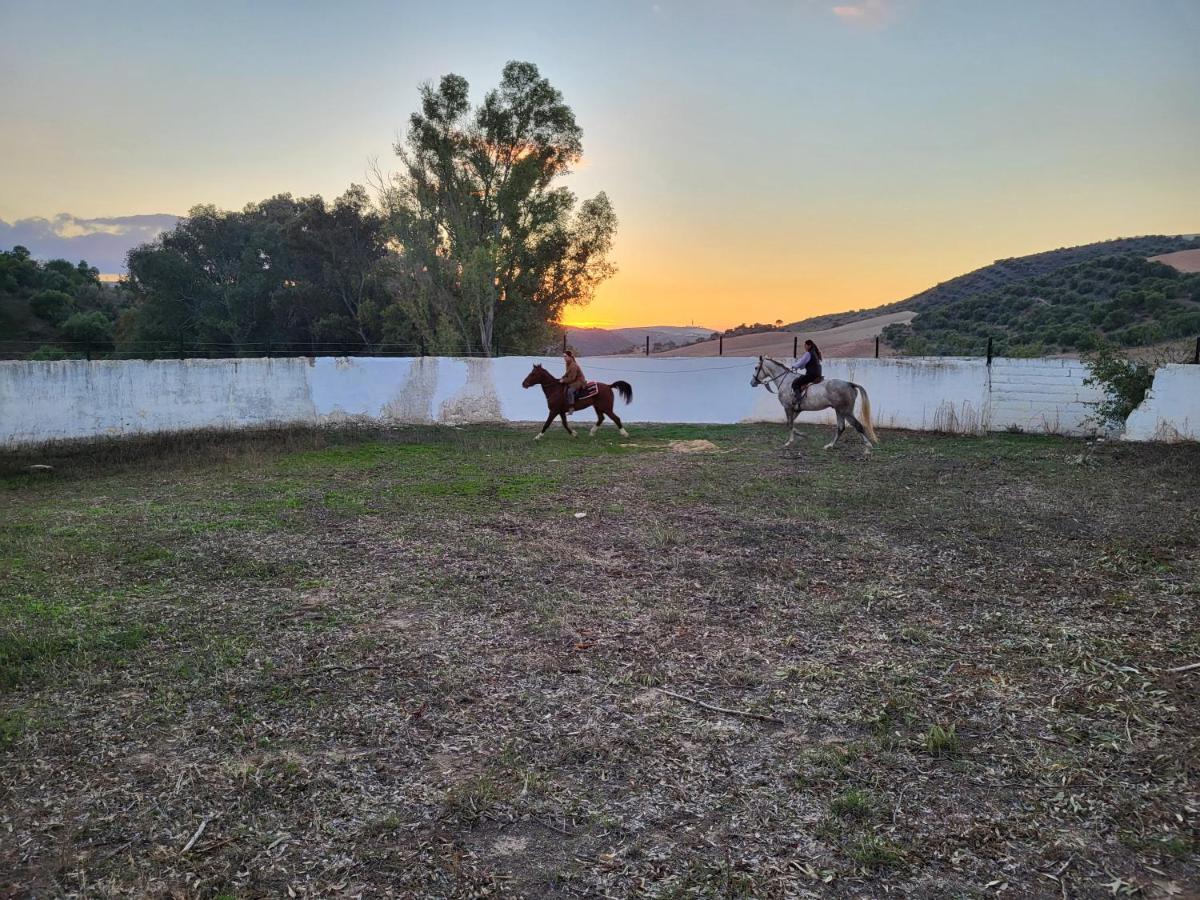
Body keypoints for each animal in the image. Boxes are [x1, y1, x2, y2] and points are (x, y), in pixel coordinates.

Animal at [748, 357, 883, 453]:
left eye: (756, 367)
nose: (752, 382)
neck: (785, 381)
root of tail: (849, 383)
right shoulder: (796, 410)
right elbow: (790, 424)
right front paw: (801, 435)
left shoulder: (788, 407)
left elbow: (790, 424)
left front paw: (790, 441)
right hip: (839, 411)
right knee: (841, 428)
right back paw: (829, 446)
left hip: (846, 411)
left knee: (858, 426)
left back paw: (867, 448)